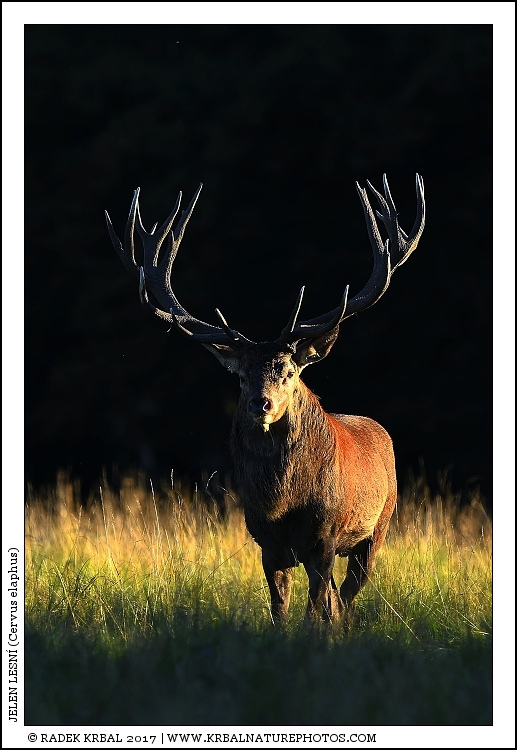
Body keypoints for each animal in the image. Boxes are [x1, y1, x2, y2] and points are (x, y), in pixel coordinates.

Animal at [105, 174, 425, 625]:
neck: (282, 505)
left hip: (378, 526)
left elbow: (316, 610)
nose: (263, 405)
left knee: (346, 598)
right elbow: (280, 610)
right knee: (340, 600)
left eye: (289, 373)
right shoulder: (265, 544)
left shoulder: (325, 540)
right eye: (241, 377)